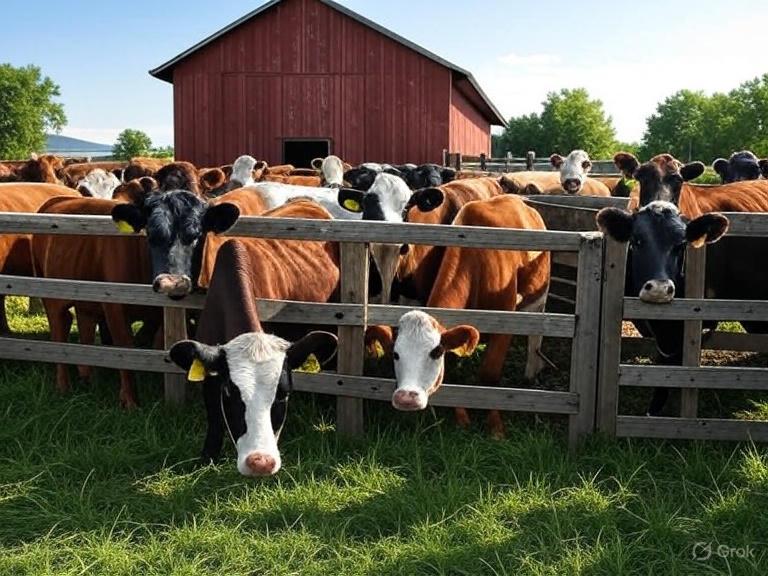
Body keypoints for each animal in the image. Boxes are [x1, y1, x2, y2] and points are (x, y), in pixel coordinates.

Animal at [366, 194, 550, 437]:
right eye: (395, 354)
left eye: (435, 352)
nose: (406, 398)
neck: (478, 264)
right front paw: (461, 417)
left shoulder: (505, 324)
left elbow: (489, 375)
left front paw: (495, 426)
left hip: (539, 298)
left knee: (535, 339)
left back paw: (532, 372)